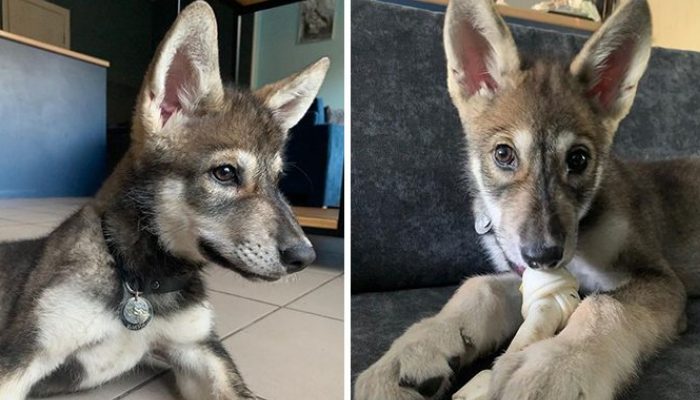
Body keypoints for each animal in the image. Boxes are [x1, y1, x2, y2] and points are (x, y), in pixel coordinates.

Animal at [0, 2, 329, 399]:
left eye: (278, 181)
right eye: (225, 173)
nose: (304, 257)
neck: (140, 280)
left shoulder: (199, 349)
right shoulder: (23, 356)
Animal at [355, 0, 700, 399]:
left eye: (578, 159)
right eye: (503, 154)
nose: (543, 254)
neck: (584, 228)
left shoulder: (660, 280)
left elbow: (604, 306)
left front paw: (556, 365)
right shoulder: (529, 276)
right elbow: (480, 285)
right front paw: (415, 350)